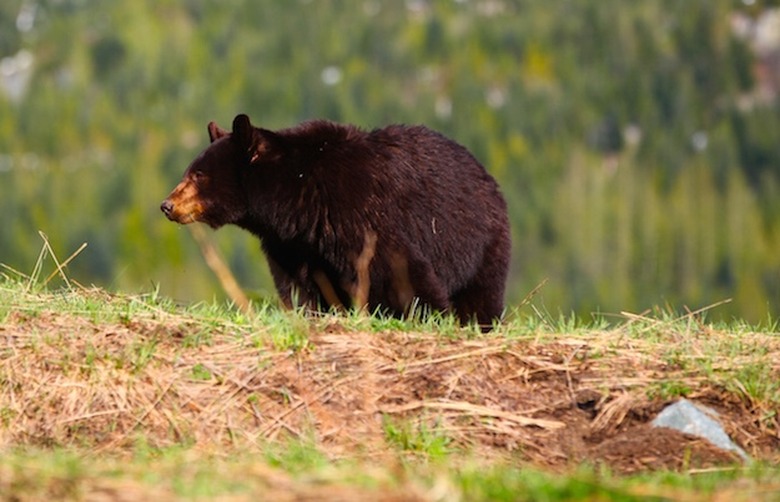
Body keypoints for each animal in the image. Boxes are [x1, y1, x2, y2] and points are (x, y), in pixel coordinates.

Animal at [161, 114, 511, 330]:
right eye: (189, 171)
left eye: (198, 175)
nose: (167, 205)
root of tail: (488, 176)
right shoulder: (294, 244)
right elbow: (300, 286)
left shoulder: (365, 217)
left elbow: (403, 272)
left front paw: (429, 315)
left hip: (477, 242)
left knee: (480, 293)